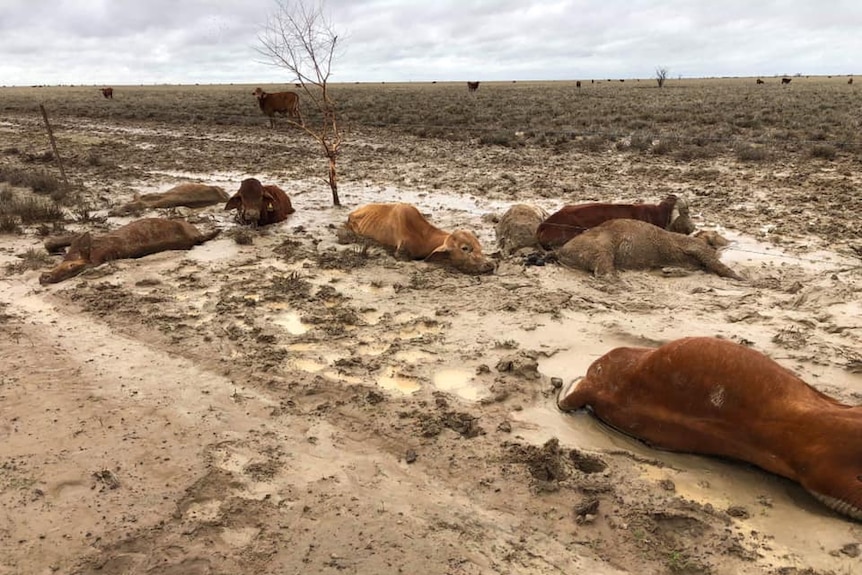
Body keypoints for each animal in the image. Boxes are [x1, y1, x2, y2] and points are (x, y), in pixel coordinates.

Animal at [340, 202, 496, 274]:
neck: (423, 236)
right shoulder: (401, 252)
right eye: (465, 248)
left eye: (480, 247)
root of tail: (352, 214)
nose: (490, 264)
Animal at [556, 217, 744, 280]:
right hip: (599, 246)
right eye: (715, 233)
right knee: (604, 269)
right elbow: (717, 264)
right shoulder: (697, 247)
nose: (733, 242)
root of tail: (560, 252)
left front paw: (669, 271)